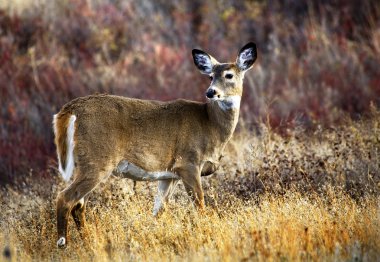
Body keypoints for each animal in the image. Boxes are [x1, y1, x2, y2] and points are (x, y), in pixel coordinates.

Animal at [52, 42, 255, 248]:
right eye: (211, 76)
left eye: (229, 75)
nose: (211, 92)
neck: (210, 124)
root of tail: (71, 109)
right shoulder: (188, 163)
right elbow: (200, 205)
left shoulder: (169, 175)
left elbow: (158, 211)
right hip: (97, 158)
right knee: (66, 198)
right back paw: (63, 243)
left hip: (88, 162)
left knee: (78, 205)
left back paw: (90, 242)